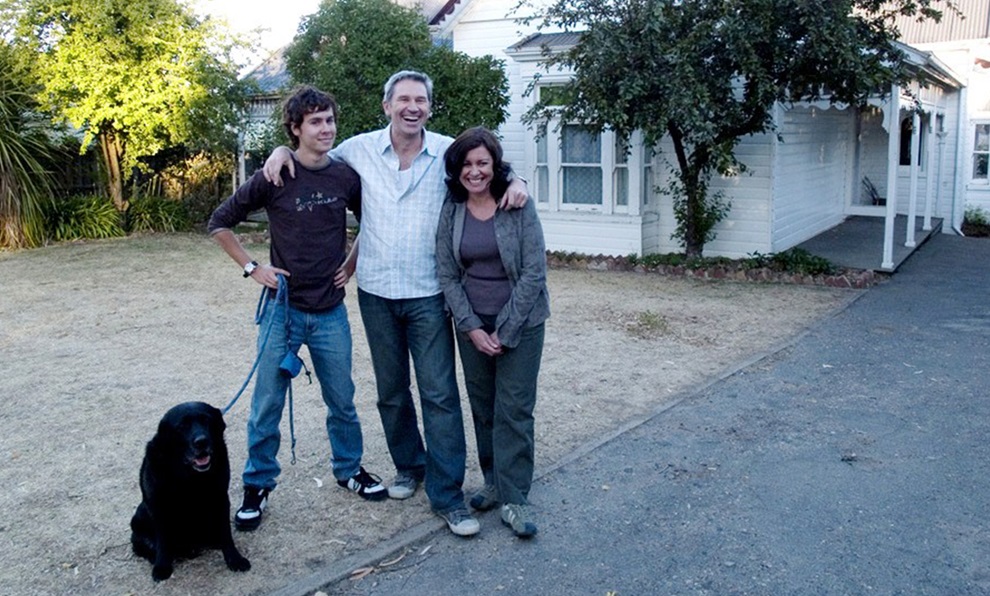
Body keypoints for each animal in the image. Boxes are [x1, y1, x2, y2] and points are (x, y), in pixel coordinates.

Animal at [131, 400, 252, 584]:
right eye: (182, 426)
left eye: (207, 420)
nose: (201, 441)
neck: (189, 477)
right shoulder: (158, 507)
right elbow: (163, 541)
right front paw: (162, 567)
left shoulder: (221, 499)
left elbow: (226, 534)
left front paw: (234, 559)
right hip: (139, 515)